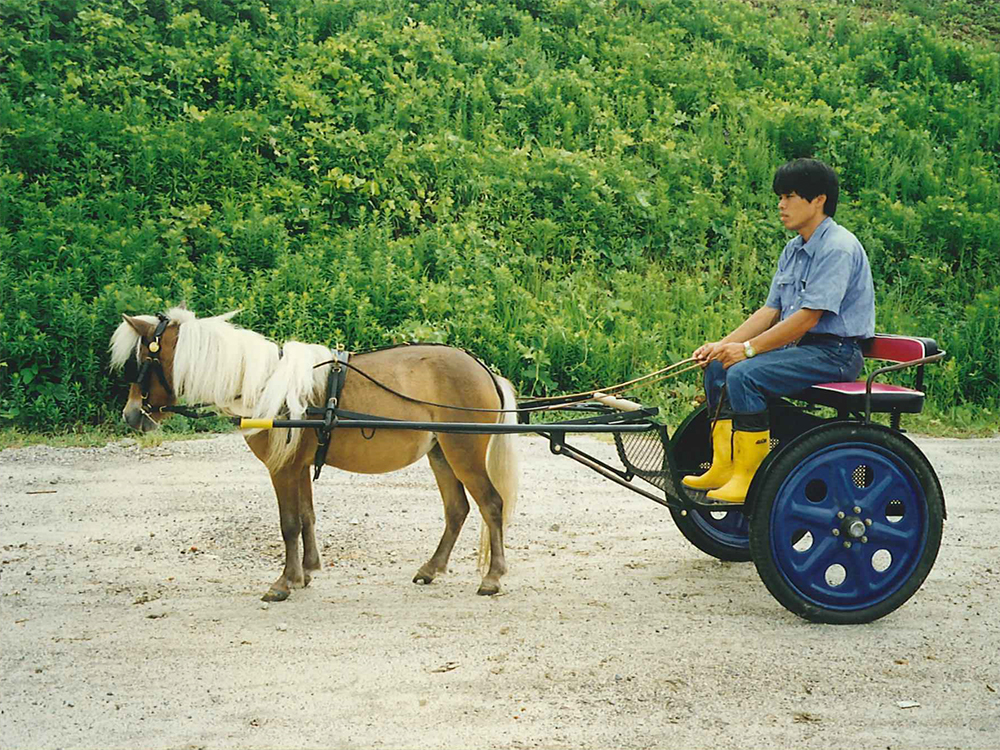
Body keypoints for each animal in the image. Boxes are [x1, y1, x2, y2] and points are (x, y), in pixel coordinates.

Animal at [107, 308, 524, 604]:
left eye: (142, 362)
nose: (130, 415)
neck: (263, 384)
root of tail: (484, 370)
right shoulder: (301, 466)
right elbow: (307, 516)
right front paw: (306, 572)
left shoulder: (282, 468)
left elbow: (289, 523)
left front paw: (284, 581)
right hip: (441, 454)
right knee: (457, 510)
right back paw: (432, 568)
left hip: (462, 451)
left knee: (491, 504)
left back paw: (493, 577)